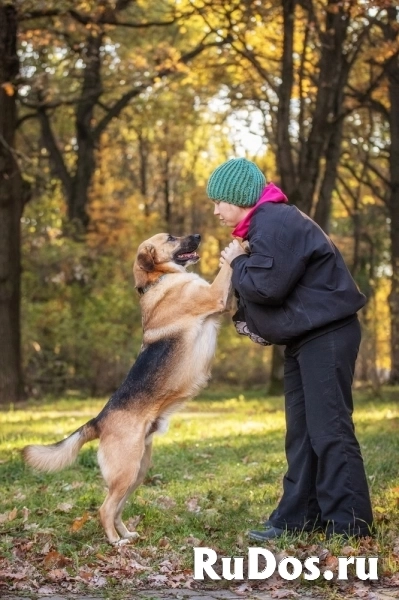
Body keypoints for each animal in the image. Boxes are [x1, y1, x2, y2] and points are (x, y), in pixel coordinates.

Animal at [21, 233, 233, 544]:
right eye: (171, 238)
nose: (197, 236)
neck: (158, 280)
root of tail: (99, 419)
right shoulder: (215, 296)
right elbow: (228, 269)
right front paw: (238, 247)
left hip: (137, 472)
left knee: (117, 508)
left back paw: (127, 534)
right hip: (127, 471)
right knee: (105, 509)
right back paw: (115, 541)